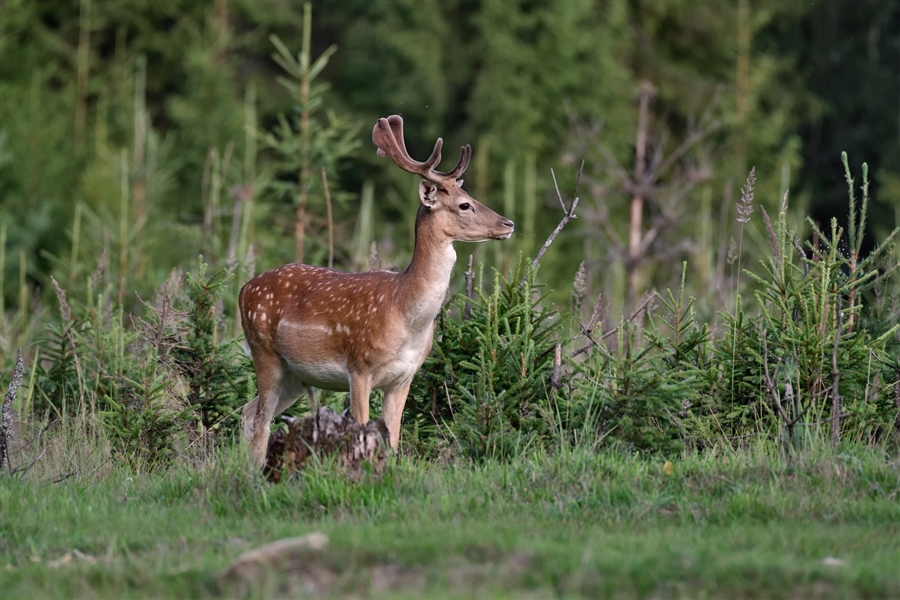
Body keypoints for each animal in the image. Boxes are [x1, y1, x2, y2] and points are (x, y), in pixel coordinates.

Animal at [239, 115, 512, 466]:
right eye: (465, 204)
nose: (508, 224)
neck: (405, 314)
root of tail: (244, 288)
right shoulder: (359, 368)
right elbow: (361, 431)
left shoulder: (404, 378)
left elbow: (393, 439)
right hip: (265, 352)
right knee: (260, 422)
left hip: (297, 375)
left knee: (248, 412)